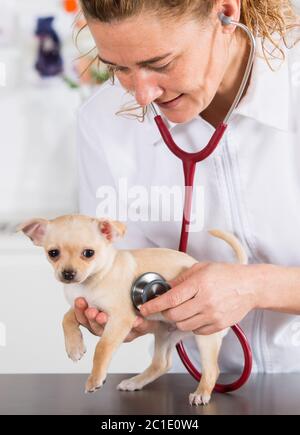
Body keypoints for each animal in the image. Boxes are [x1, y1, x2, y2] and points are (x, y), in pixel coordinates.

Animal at [17, 216, 246, 408]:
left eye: (88, 253)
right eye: (53, 253)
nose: (68, 273)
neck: (94, 279)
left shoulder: (119, 320)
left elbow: (103, 347)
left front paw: (95, 378)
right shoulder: (82, 305)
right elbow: (66, 318)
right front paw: (74, 347)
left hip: (204, 334)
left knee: (212, 370)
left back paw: (201, 393)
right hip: (165, 333)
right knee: (161, 363)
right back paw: (135, 382)